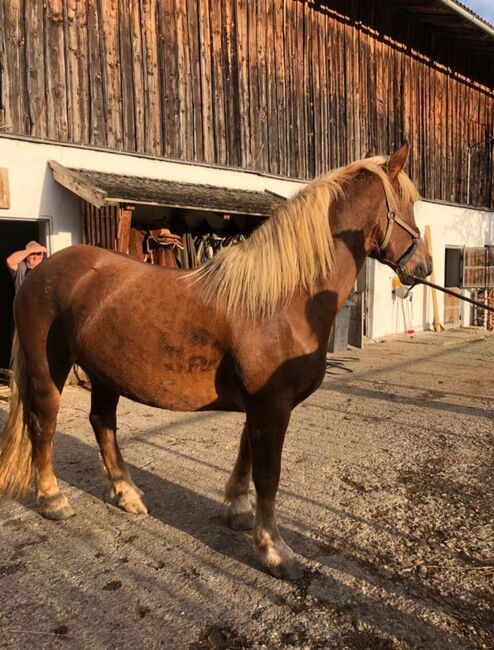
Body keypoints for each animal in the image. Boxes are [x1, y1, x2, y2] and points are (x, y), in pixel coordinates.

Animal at [0, 142, 432, 576]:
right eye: (407, 205)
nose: (423, 267)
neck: (280, 300)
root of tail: (41, 272)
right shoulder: (271, 406)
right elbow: (268, 475)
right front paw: (274, 549)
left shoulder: (262, 406)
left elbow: (246, 457)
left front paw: (238, 512)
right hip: (49, 371)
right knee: (44, 425)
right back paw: (53, 499)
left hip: (106, 373)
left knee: (102, 423)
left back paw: (127, 494)